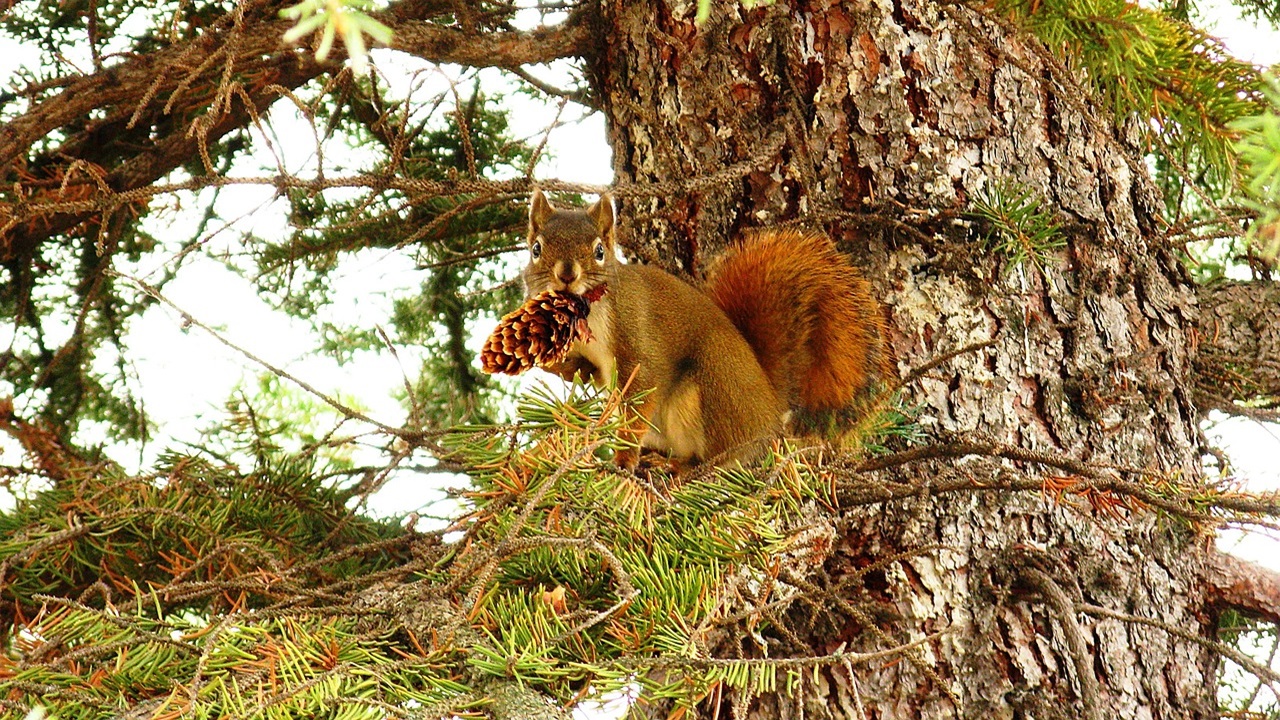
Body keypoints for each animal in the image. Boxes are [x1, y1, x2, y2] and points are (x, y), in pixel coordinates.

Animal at [517, 188, 880, 466]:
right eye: (536, 248)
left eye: (599, 251)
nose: (567, 274)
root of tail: (771, 411)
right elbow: (586, 371)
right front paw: (561, 366)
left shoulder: (637, 337)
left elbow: (641, 392)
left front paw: (622, 459)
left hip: (713, 384)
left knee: (720, 458)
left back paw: (686, 470)